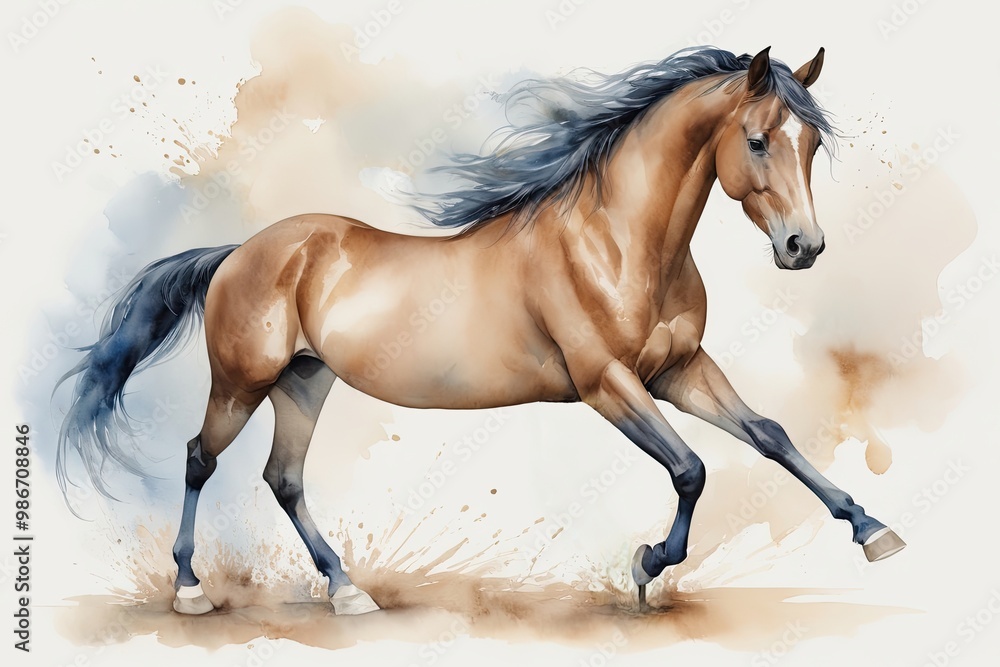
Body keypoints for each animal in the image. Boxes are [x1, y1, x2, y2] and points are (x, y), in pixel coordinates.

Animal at [56, 46, 905, 616]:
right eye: (759, 139)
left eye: (812, 143)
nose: (803, 247)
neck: (617, 241)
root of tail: (240, 251)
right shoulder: (607, 383)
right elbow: (692, 468)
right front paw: (645, 565)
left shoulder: (681, 368)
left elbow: (769, 434)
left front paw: (873, 528)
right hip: (243, 380)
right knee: (200, 458)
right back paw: (191, 588)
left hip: (305, 379)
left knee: (284, 478)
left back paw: (347, 590)